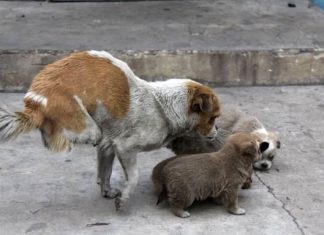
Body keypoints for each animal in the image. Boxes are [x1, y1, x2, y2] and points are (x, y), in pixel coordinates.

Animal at [0, 50, 220, 211]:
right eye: (213, 118)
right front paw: (124, 198)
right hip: (85, 126)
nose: (217, 130)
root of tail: (35, 103)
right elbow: (133, 176)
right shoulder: (125, 147)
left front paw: (106, 191)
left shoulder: (109, 145)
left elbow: (104, 172)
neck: (161, 107)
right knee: (81, 135)